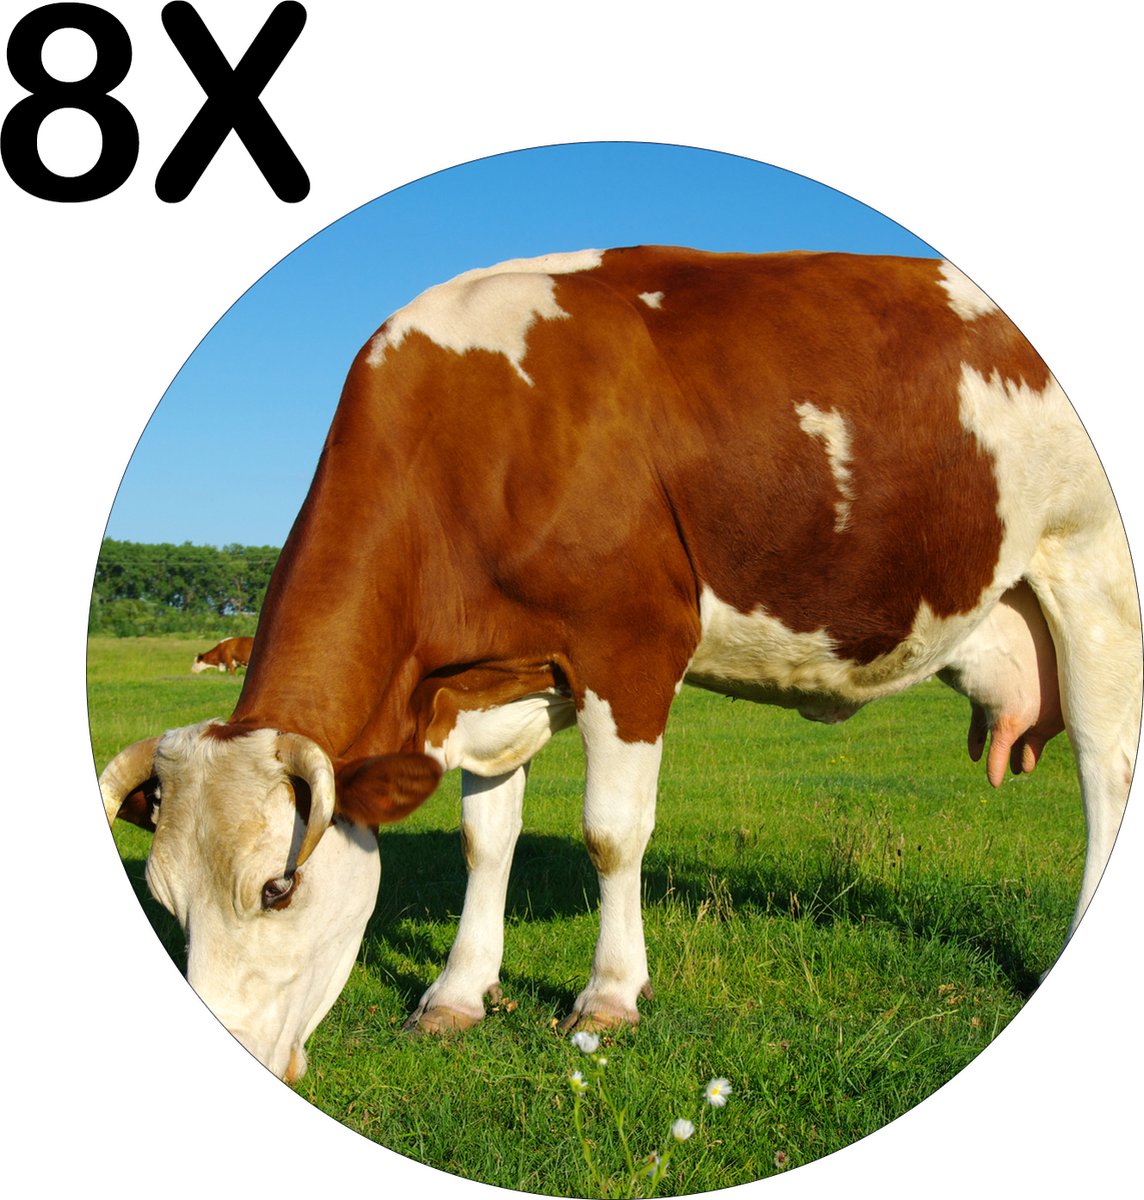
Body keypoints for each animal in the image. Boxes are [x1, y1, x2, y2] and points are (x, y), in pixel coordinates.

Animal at [99, 246, 1141, 1084]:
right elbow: (486, 838)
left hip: (1091, 571)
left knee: (1105, 766)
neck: (479, 434)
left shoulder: (631, 646)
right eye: (164, 900)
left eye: (276, 889)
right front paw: (457, 992)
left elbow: (610, 834)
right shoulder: (490, 683)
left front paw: (607, 996)